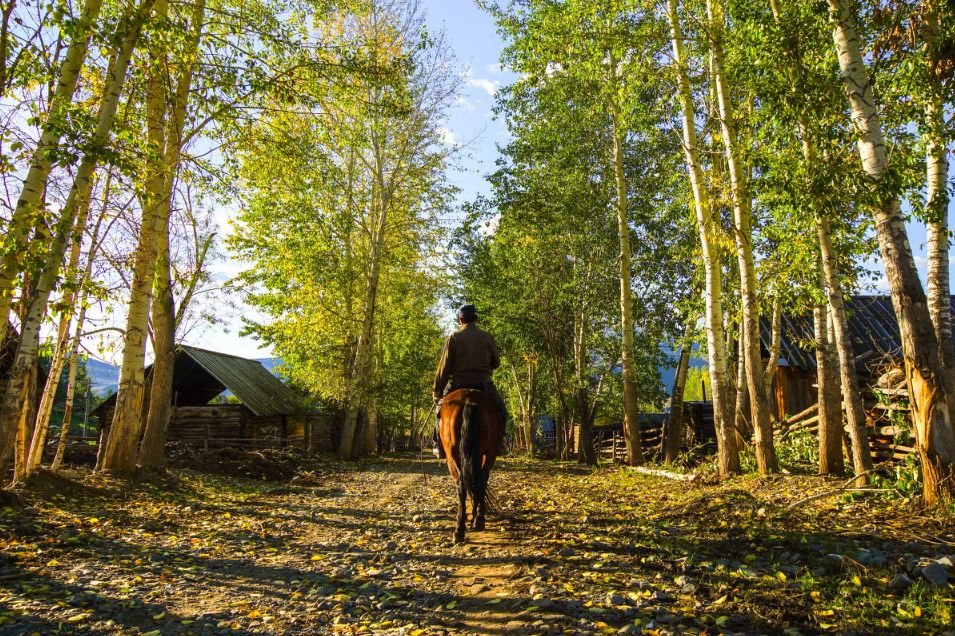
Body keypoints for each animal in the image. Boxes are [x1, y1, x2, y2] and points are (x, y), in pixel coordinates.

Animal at [438, 388, 500, 540]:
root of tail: (469, 400)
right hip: (489, 452)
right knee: (480, 480)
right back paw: (478, 520)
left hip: (452, 455)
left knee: (462, 484)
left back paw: (460, 529)